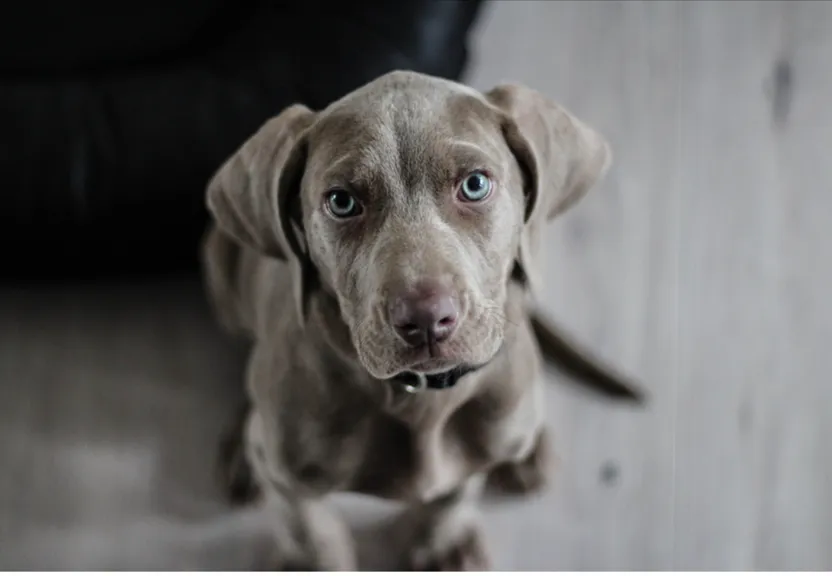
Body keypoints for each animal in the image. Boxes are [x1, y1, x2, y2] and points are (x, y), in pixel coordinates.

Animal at [202, 70, 644, 568]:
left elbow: (454, 493)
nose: (427, 319)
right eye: (341, 201)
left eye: (475, 185)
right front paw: (316, 559)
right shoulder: (288, 476)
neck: (421, 398)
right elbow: (309, 528)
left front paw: (442, 544)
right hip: (219, 266)